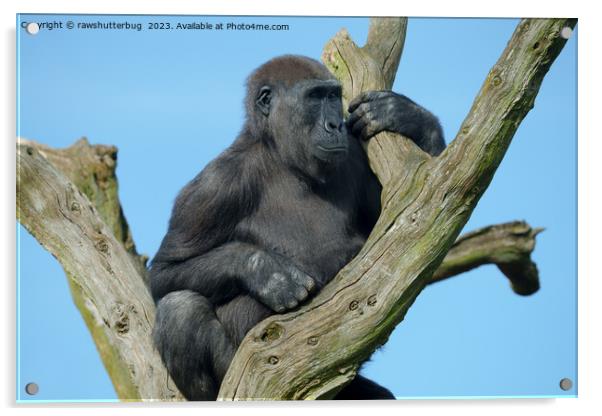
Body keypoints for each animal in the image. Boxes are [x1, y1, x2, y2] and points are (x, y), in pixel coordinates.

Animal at [149, 54, 440, 400]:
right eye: (314, 97)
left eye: (333, 96)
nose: (335, 125)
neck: (282, 157)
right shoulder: (214, 184)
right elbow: (164, 272)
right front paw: (265, 271)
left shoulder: (355, 155)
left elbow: (411, 229)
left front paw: (408, 117)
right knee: (179, 309)